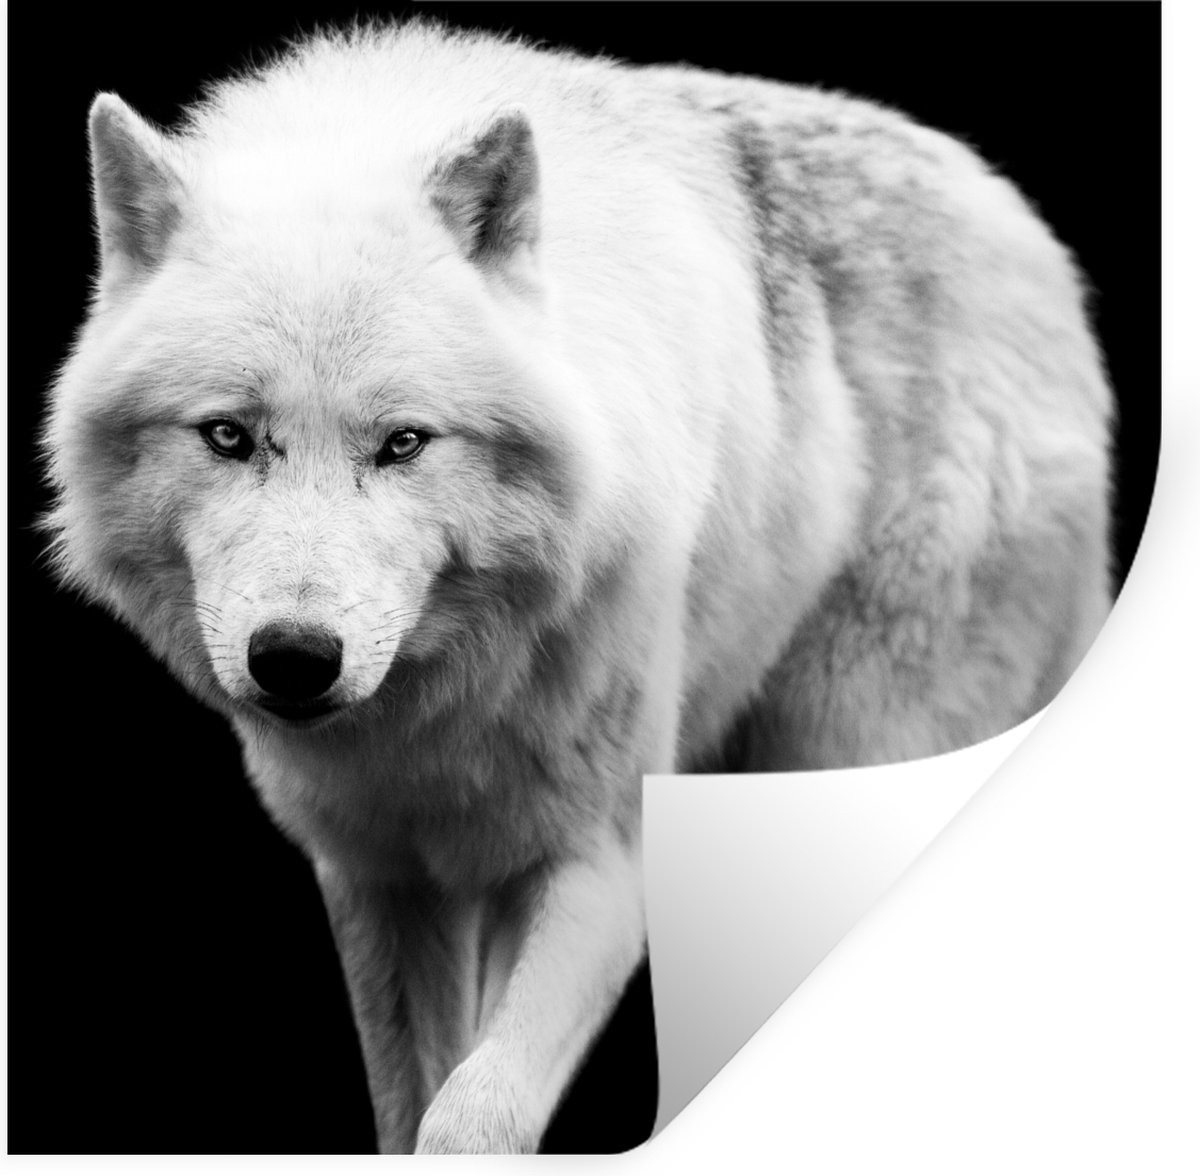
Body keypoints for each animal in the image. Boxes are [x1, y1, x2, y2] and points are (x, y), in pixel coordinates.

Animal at [42, 19, 1111, 1154]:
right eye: (229, 436)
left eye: (404, 443)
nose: (295, 659)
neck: (442, 712)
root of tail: (1023, 230)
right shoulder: (380, 879)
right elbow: (411, 1104)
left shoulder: (598, 860)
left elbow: (473, 1116)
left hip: (855, 731)